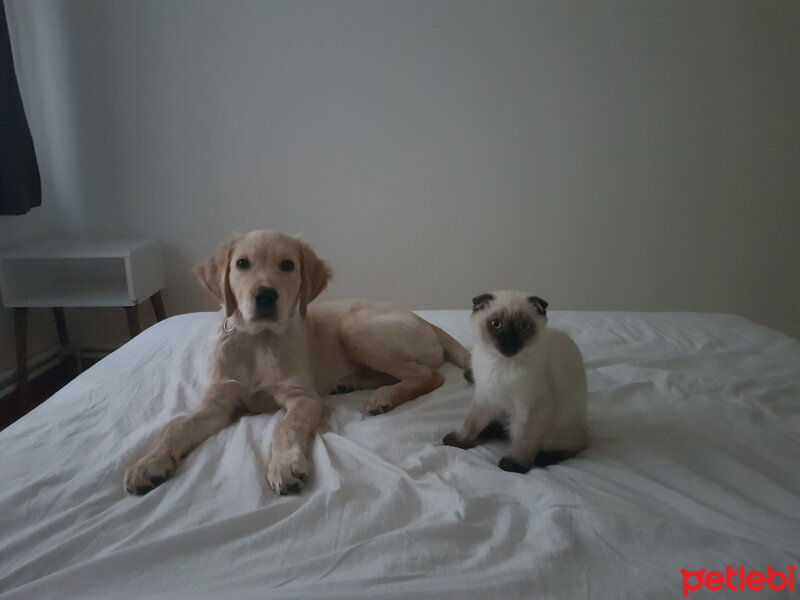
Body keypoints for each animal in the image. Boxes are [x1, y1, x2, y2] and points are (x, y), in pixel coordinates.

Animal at [121, 230, 466, 496]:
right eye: (242, 264)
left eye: (287, 265)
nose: (265, 296)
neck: (257, 340)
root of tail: (426, 321)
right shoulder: (218, 404)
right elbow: (177, 427)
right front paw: (148, 463)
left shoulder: (302, 397)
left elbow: (285, 428)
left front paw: (285, 465)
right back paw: (350, 383)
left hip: (358, 333)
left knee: (428, 375)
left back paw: (384, 397)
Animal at [444, 290, 588, 474]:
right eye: (496, 324)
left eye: (523, 326)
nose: (509, 341)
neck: (501, 366)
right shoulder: (485, 398)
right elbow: (471, 423)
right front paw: (461, 441)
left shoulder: (531, 409)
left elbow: (524, 439)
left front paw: (514, 465)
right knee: (504, 429)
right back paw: (488, 431)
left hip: (558, 431)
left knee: (578, 445)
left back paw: (543, 458)